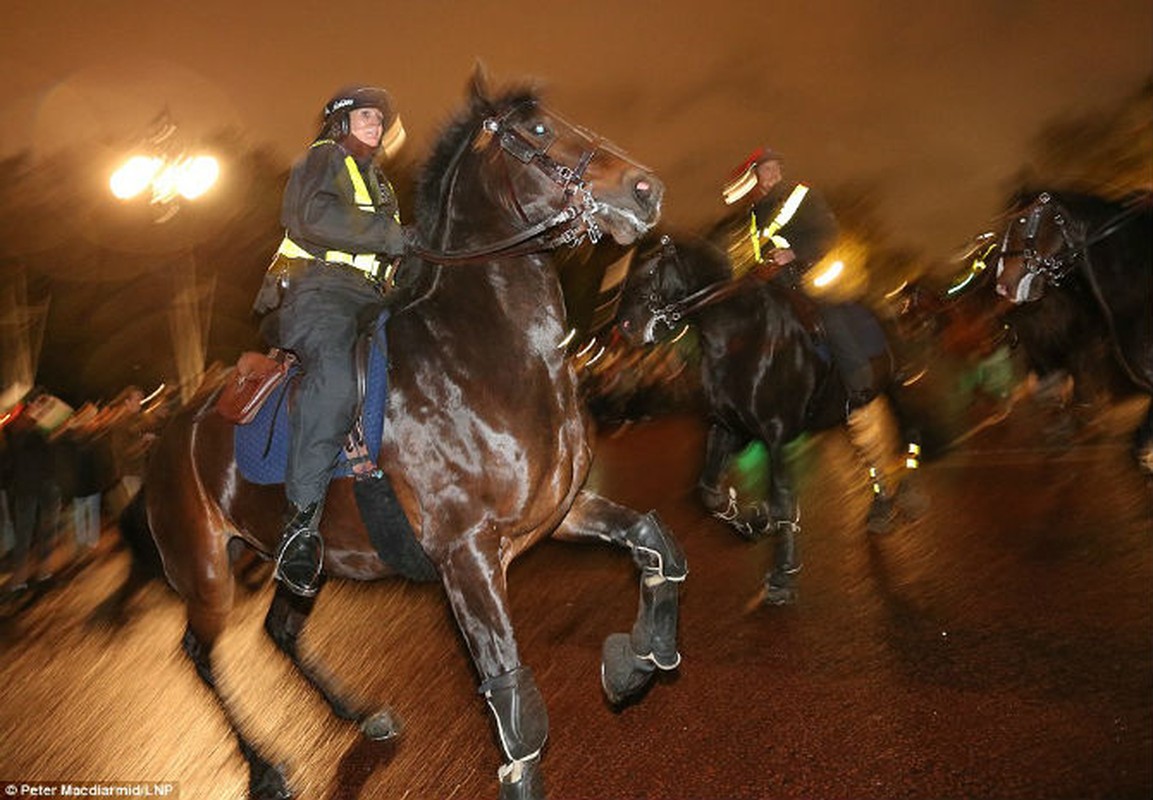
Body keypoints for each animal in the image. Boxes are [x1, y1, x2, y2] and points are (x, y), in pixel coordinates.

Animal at [141, 72, 682, 797]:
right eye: (537, 130)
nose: (646, 189)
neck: (484, 358)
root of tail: (165, 435)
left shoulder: (556, 512)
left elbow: (655, 542)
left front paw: (637, 659)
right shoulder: (467, 556)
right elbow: (516, 710)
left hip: (298, 567)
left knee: (279, 629)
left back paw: (359, 715)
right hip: (204, 572)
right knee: (199, 654)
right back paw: (264, 767)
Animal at [618, 238, 913, 608]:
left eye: (650, 268)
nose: (625, 327)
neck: (741, 338)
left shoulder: (777, 433)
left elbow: (782, 497)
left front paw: (782, 574)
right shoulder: (728, 429)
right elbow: (708, 491)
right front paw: (752, 523)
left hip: (893, 385)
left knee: (904, 425)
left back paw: (908, 486)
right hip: (851, 409)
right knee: (868, 448)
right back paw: (881, 507)